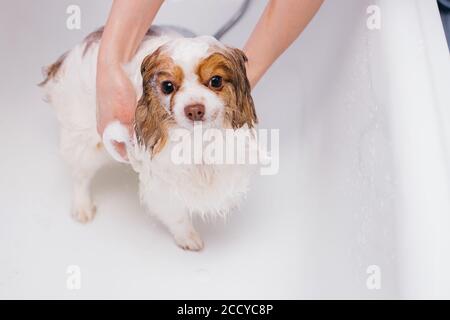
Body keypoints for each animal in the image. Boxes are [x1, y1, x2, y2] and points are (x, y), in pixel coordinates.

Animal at [40, 26, 258, 250]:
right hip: (88, 144)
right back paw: (82, 207)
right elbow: (176, 214)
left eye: (216, 81)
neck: (196, 139)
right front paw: (187, 236)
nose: (194, 110)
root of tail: (69, 56)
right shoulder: (162, 180)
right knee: (80, 176)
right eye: (168, 86)